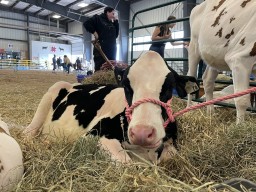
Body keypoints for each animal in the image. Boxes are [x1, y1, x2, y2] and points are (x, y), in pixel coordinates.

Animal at [23, 51, 196, 164]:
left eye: (169, 88)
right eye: (126, 86)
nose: (141, 133)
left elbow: (170, 155)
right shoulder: (93, 135)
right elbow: (127, 164)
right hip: (52, 92)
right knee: (29, 131)